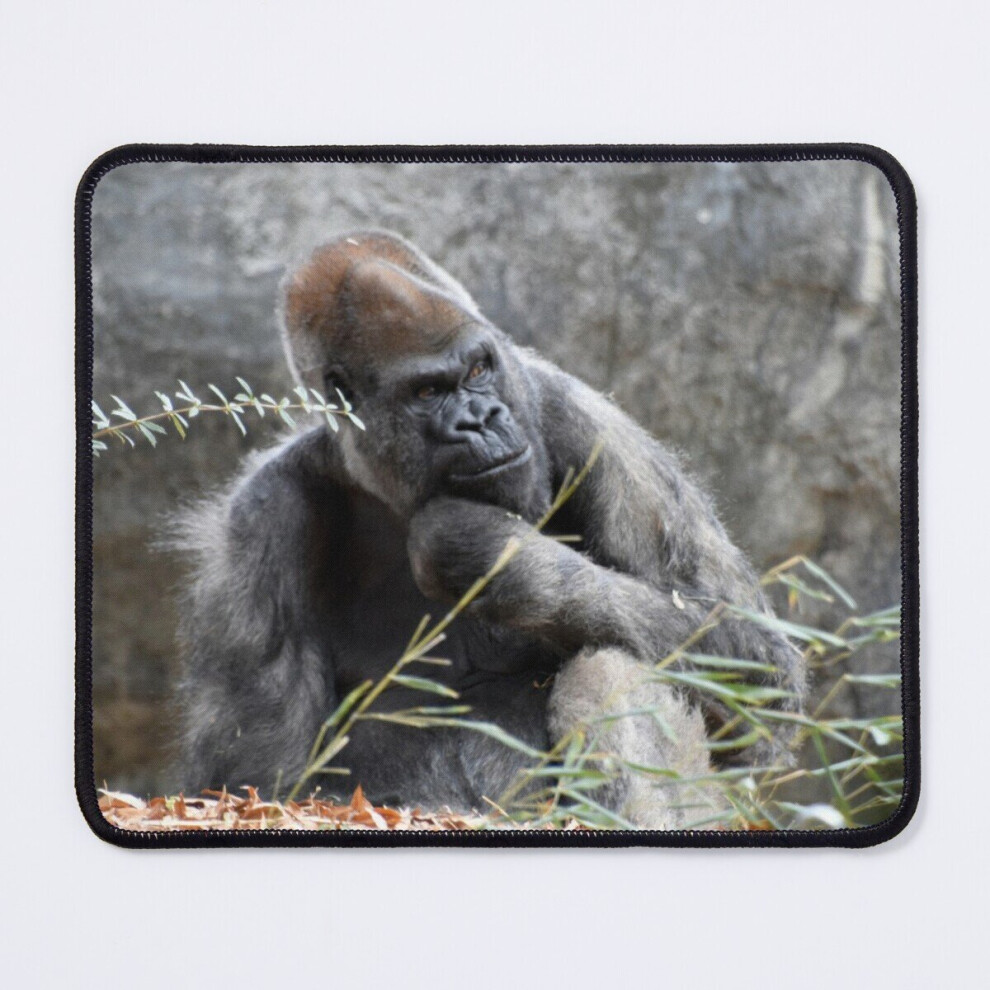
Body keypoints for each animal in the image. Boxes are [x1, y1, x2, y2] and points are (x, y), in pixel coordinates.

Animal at [173, 230, 805, 829]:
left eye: (479, 369)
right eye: (428, 391)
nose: (481, 419)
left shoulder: (590, 424)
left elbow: (760, 674)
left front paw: (493, 554)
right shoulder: (259, 525)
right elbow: (258, 781)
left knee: (613, 668)